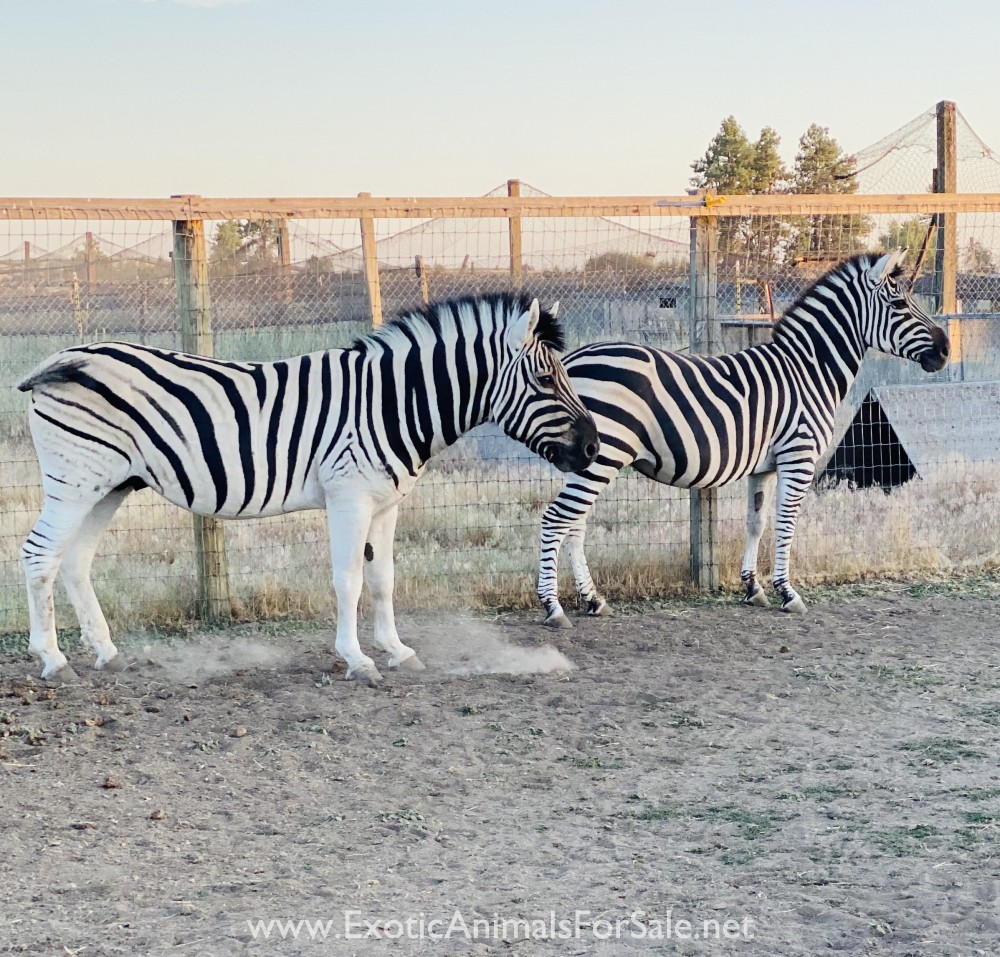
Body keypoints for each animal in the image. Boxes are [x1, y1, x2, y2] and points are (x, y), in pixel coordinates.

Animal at [18, 292, 599, 685]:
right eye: (545, 380)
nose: (595, 448)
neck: (393, 403)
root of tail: (66, 355)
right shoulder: (348, 497)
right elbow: (348, 581)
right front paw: (358, 660)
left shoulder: (385, 503)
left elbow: (383, 580)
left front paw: (398, 650)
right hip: (75, 482)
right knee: (40, 555)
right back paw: (53, 660)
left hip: (109, 485)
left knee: (75, 561)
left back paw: (106, 652)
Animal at [536, 250, 950, 627]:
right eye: (899, 303)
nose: (945, 350)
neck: (809, 371)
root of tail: (569, 360)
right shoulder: (798, 457)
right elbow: (785, 524)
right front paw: (787, 592)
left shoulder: (763, 466)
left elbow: (756, 522)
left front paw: (753, 588)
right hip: (603, 457)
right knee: (556, 519)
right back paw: (553, 608)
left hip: (588, 459)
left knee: (574, 524)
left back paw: (593, 600)